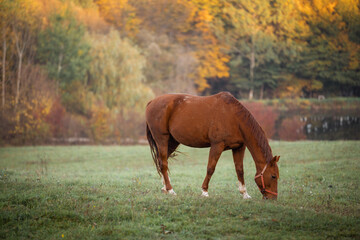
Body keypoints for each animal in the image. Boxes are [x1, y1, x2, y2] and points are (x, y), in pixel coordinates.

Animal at [145, 91, 280, 199]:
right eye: (273, 176)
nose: (273, 198)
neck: (234, 117)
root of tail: (151, 102)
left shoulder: (239, 147)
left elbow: (240, 170)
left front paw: (244, 194)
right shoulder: (217, 145)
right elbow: (211, 168)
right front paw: (204, 191)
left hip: (172, 141)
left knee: (162, 162)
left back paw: (165, 188)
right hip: (162, 139)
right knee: (163, 163)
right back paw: (170, 189)